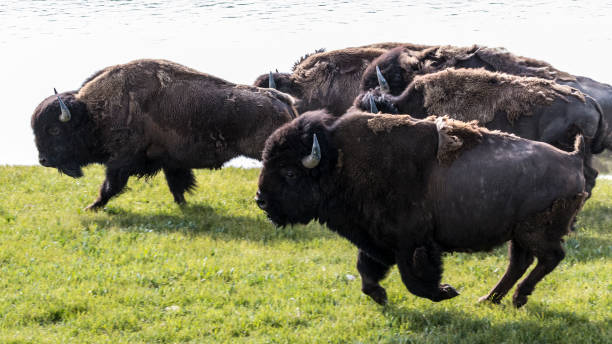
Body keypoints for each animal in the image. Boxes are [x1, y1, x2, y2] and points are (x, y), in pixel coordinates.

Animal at [32, 59, 298, 210]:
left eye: (54, 129)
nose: (42, 160)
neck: (93, 112)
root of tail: (282, 99)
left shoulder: (121, 161)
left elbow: (110, 186)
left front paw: (93, 206)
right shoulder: (172, 162)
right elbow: (177, 185)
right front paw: (184, 205)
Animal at [256, 110, 584, 306]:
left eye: (289, 173)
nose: (261, 199)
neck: (339, 162)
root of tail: (573, 160)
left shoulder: (411, 242)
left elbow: (412, 279)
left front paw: (445, 292)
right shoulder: (375, 240)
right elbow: (366, 268)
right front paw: (379, 296)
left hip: (534, 232)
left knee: (549, 258)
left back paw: (515, 298)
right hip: (518, 234)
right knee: (520, 263)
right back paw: (489, 299)